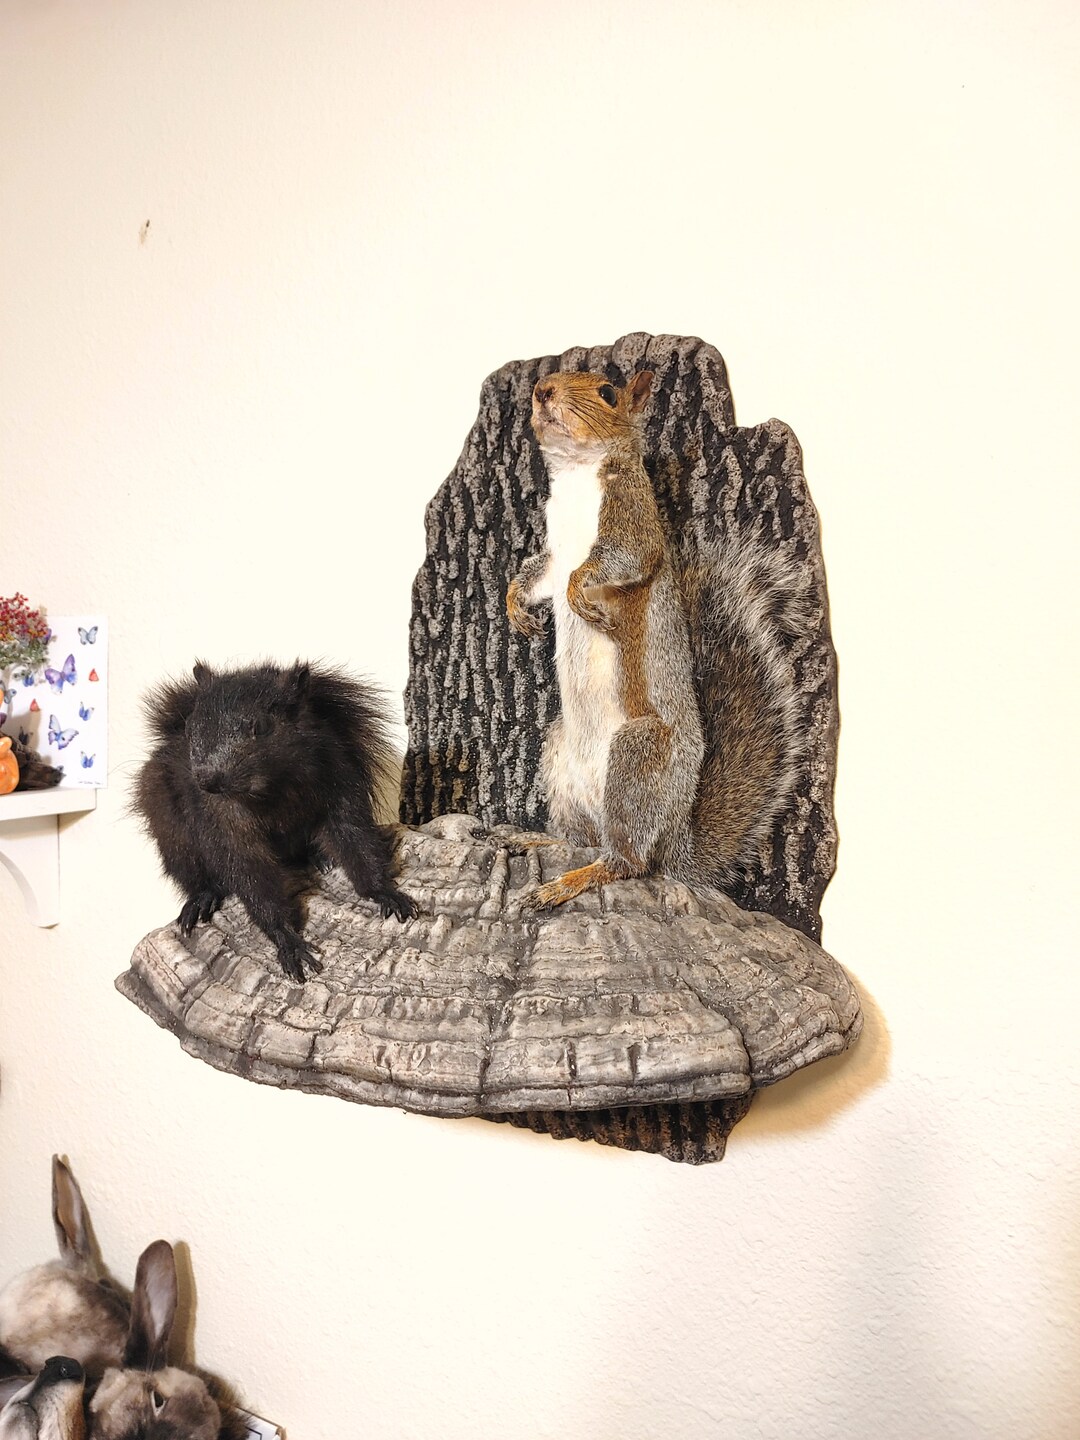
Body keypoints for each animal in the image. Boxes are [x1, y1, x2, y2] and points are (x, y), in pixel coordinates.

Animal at [133, 660, 417, 982]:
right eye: (189, 727)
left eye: (262, 726)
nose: (207, 780)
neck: (270, 788)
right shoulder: (223, 820)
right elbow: (249, 873)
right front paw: (287, 939)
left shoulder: (338, 779)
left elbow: (354, 838)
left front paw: (385, 892)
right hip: (171, 831)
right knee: (194, 873)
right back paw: (202, 897)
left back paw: (319, 858)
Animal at [506, 368, 810, 908]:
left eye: (608, 393)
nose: (542, 391)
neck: (578, 475)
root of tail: (674, 838)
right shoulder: (553, 551)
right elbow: (538, 574)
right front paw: (514, 604)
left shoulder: (632, 521)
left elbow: (619, 560)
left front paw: (579, 596)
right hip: (559, 754)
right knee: (583, 839)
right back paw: (543, 842)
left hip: (639, 755)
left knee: (628, 862)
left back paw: (572, 881)